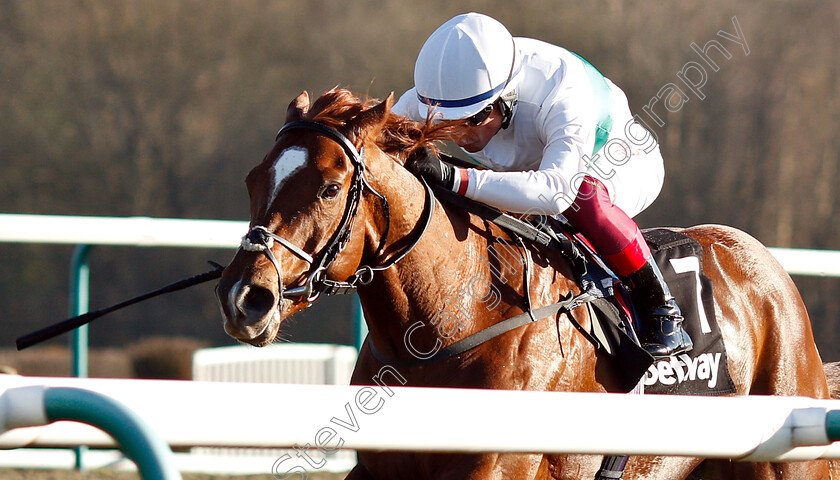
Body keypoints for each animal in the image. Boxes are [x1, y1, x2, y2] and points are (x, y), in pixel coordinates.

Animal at [218, 88, 840, 478]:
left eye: (329, 188)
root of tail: (765, 267)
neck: (451, 326)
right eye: (251, 180)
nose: (244, 298)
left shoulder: (498, 463)